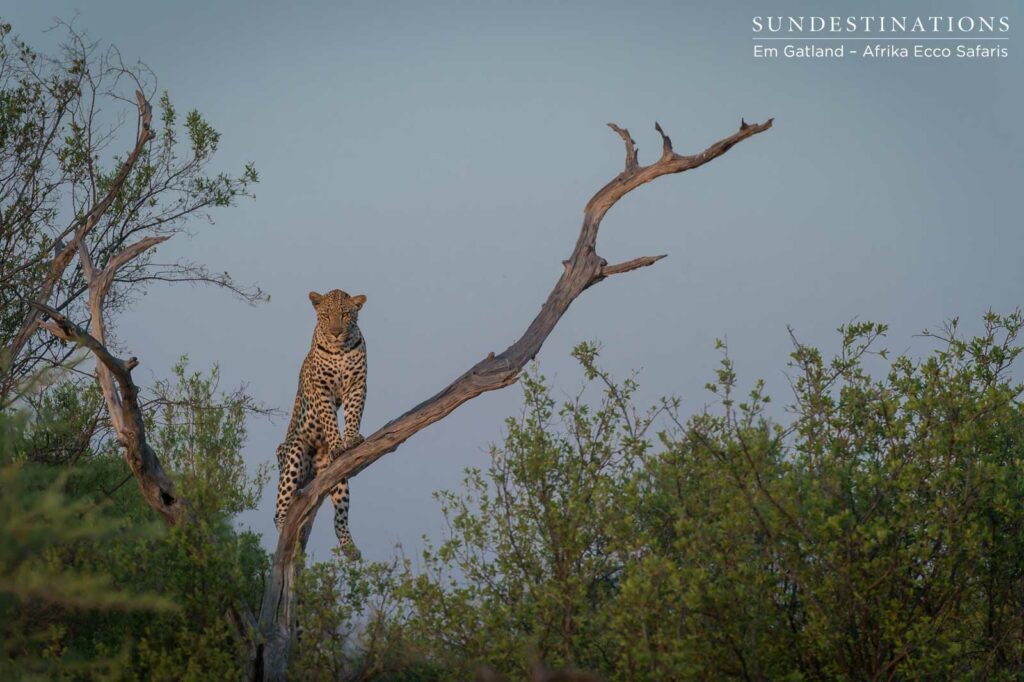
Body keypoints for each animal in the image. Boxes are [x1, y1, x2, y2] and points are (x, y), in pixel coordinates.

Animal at [274, 288, 367, 558]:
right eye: (326, 315)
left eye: (345, 314)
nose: (335, 332)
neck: (340, 351)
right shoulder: (322, 389)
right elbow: (329, 419)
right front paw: (338, 443)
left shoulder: (357, 384)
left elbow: (354, 414)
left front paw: (352, 439)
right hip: (292, 455)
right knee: (280, 508)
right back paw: (289, 537)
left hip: (337, 477)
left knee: (340, 517)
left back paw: (349, 547)